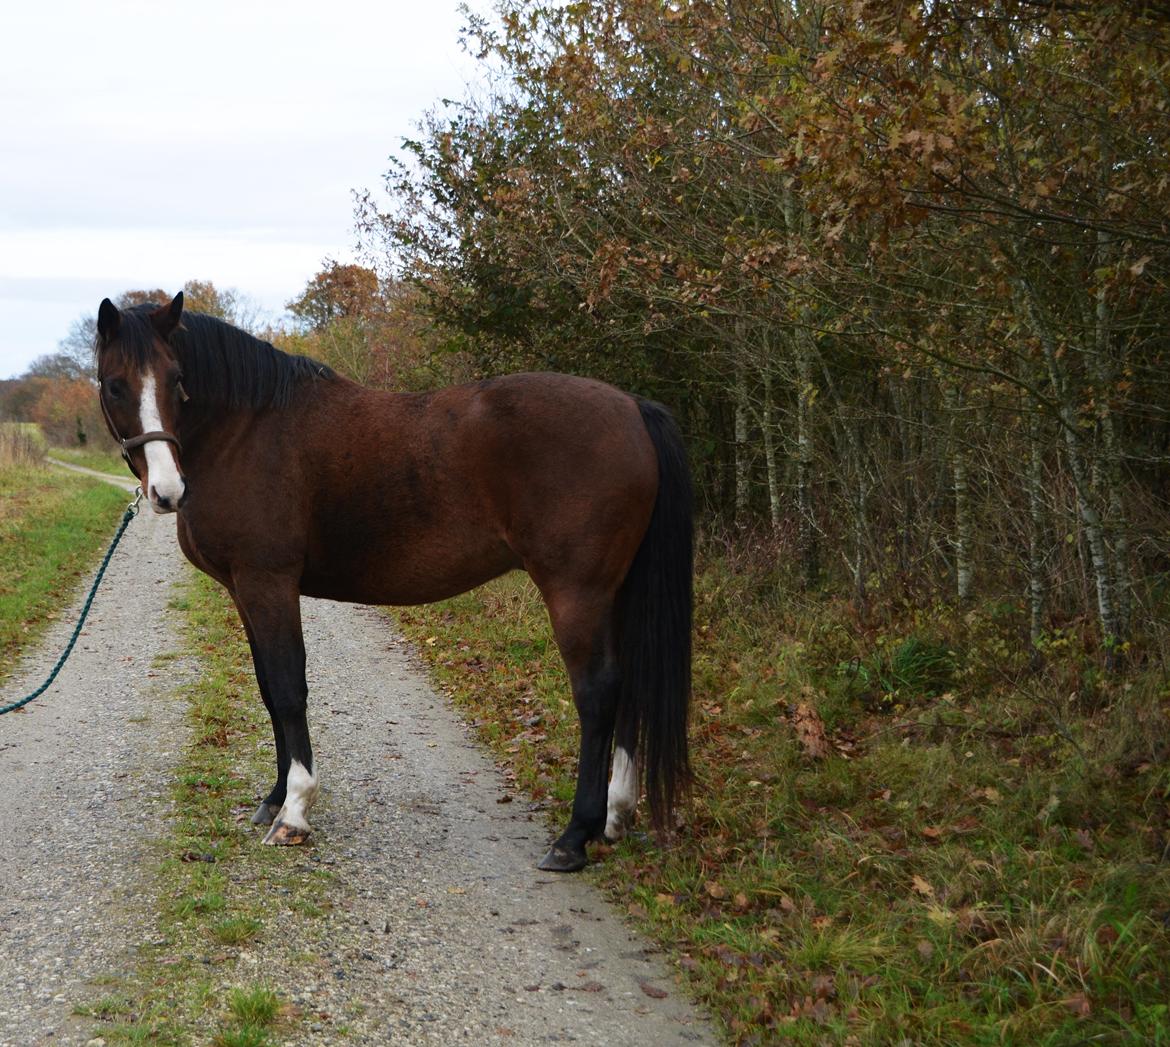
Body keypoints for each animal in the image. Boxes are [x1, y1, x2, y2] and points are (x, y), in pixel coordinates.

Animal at [95, 290, 692, 870]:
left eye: (177, 380)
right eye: (116, 384)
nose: (168, 491)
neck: (246, 429)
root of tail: (632, 407)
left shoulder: (268, 583)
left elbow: (288, 689)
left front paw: (295, 811)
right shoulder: (243, 590)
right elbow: (267, 689)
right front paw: (274, 797)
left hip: (578, 592)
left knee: (597, 692)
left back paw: (574, 837)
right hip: (613, 593)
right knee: (626, 687)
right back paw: (614, 816)